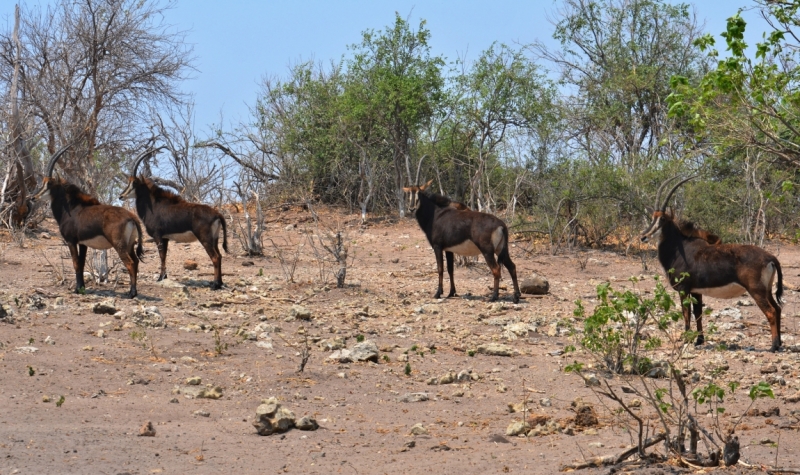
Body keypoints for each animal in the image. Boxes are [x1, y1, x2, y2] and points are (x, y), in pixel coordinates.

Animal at [31, 144, 145, 298]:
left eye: (49, 184)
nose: (34, 197)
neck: (71, 208)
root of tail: (131, 217)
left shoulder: (71, 241)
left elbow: (75, 263)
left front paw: (76, 289)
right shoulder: (83, 243)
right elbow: (82, 263)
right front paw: (81, 288)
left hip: (119, 245)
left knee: (130, 263)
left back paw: (131, 293)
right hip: (130, 245)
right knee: (136, 261)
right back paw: (134, 291)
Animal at [120, 148, 230, 290]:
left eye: (134, 182)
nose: (121, 196)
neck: (154, 205)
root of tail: (217, 214)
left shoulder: (158, 236)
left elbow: (161, 256)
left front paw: (160, 277)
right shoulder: (165, 238)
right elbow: (164, 256)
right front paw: (164, 276)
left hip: (205, 238)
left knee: (215, 257)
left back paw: (215, 284)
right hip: (214, 239)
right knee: (220, 256)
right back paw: (220, 283)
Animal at [640, 177, 784, 352]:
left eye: (662, 219)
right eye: (652, 217)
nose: (644, 236)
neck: (680, 248)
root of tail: (770, 257)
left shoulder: (683, 289)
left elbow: (686, 314)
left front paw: (686, 340)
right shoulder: (696, 291)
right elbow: (698, 314)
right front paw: (699, 341)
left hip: (756, 290)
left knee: (771, 311)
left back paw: (773, 346)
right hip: (767, 290)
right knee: (777, 309)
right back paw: (779, 343)